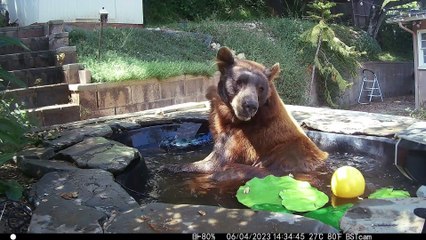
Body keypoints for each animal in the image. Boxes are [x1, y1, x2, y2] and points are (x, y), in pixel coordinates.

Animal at [165, 47, 328, 181]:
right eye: (239, 81)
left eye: (261, 88)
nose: (250, 105)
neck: (234, 120)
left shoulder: (248, 141)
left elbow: (215, 162)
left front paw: (174, 167)